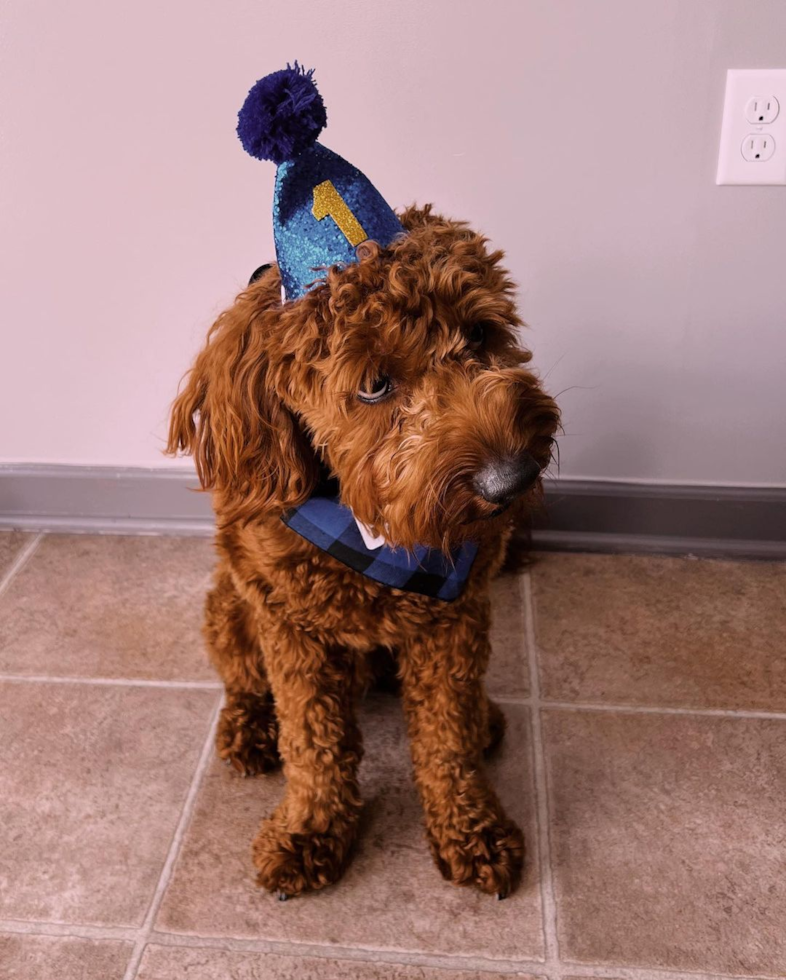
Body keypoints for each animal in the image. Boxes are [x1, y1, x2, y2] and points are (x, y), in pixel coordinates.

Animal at [165, 203, 556, 900]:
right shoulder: (291, 628)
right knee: (241, 677)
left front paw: (471, 829)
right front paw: (310, 832)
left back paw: (484, 719)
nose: (509, 481)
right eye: (374, 386)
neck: (374, 534)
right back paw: (248, 728)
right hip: (231, 605)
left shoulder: (455, 620)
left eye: (481, 333)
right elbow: (312, 742)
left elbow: (446, 737)